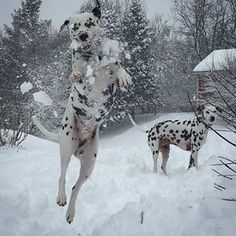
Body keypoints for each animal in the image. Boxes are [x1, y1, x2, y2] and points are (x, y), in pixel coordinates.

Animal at [33, 0, 132, 224]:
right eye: (74, 27)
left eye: (90, 23)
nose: (83, 35)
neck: (92, 56)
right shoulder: (80, 79)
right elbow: (76, 76)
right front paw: (76, 75)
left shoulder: (110, 66)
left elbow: (117, 66)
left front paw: (124, 75)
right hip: (66, 148)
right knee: (62, 176)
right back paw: (61, 197)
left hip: (89, 165)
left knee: (76, 187)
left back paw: (71, 212)